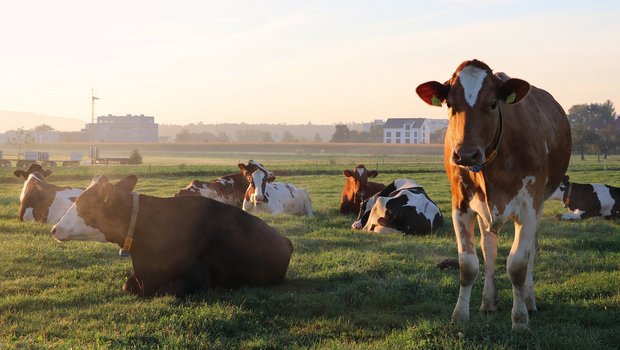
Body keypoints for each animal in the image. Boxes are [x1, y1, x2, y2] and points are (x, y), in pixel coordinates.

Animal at [50, 174, 294, 296]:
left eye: (84, 206)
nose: (54, 229)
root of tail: (284, 239)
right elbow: (126, 286)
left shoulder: (197, 279)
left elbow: (165, 291)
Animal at [416, 58, 572, 330]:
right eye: (450, 104)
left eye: (492, 104)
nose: (466, 155)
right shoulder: (461, 205)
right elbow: (468, 264)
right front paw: (460, 316)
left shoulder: (529, 206)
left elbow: (518, 265)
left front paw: (520, 319)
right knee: (489, 248)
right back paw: (488, 301)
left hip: (540, 202)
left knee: (531, 250)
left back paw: (529, 301)